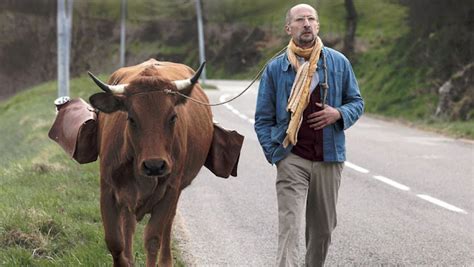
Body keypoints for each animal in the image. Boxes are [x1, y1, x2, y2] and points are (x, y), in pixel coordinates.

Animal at [88, 59, 213, 266]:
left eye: (173, 117)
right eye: (131, 118)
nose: (154, 165)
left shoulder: (170, 190)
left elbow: (153, 239)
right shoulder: (107, 190)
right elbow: (114, 241)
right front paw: (125, 261)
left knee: (167, 225)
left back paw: (166, 261)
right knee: (128, 225)